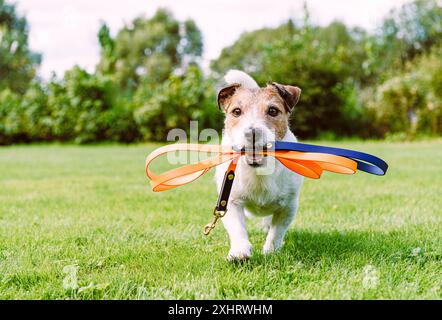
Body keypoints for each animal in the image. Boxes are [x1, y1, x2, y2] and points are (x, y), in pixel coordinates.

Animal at [215, 69, 304, 260]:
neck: (259, 171)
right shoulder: (230, 200)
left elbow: (277, 232)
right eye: (236, 111)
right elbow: (237, 228)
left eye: (272, 110)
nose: (252, 132)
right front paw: (240, 251)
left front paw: (271, 251)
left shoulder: (288, 206)